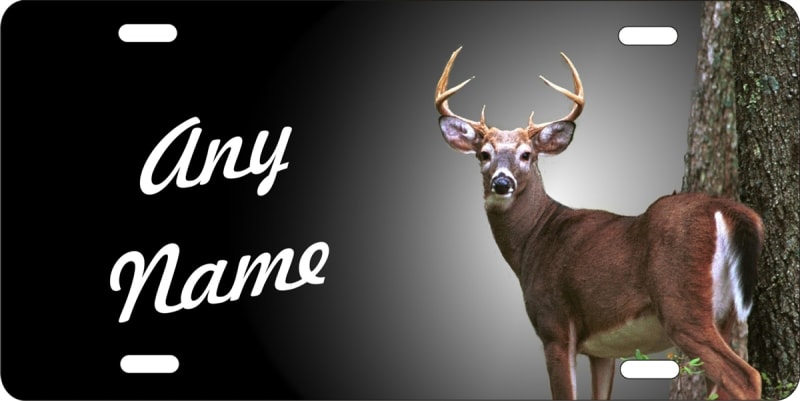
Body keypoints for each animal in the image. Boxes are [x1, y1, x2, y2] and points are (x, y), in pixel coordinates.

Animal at [434, 47, 763, 400]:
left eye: (526, 155)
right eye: (484, 154)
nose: (501, 183)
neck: (533, 241)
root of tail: (725, 209)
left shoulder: (554, 325)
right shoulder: (602, 350)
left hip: (682, 304)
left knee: (744, 377)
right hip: (725, 316)